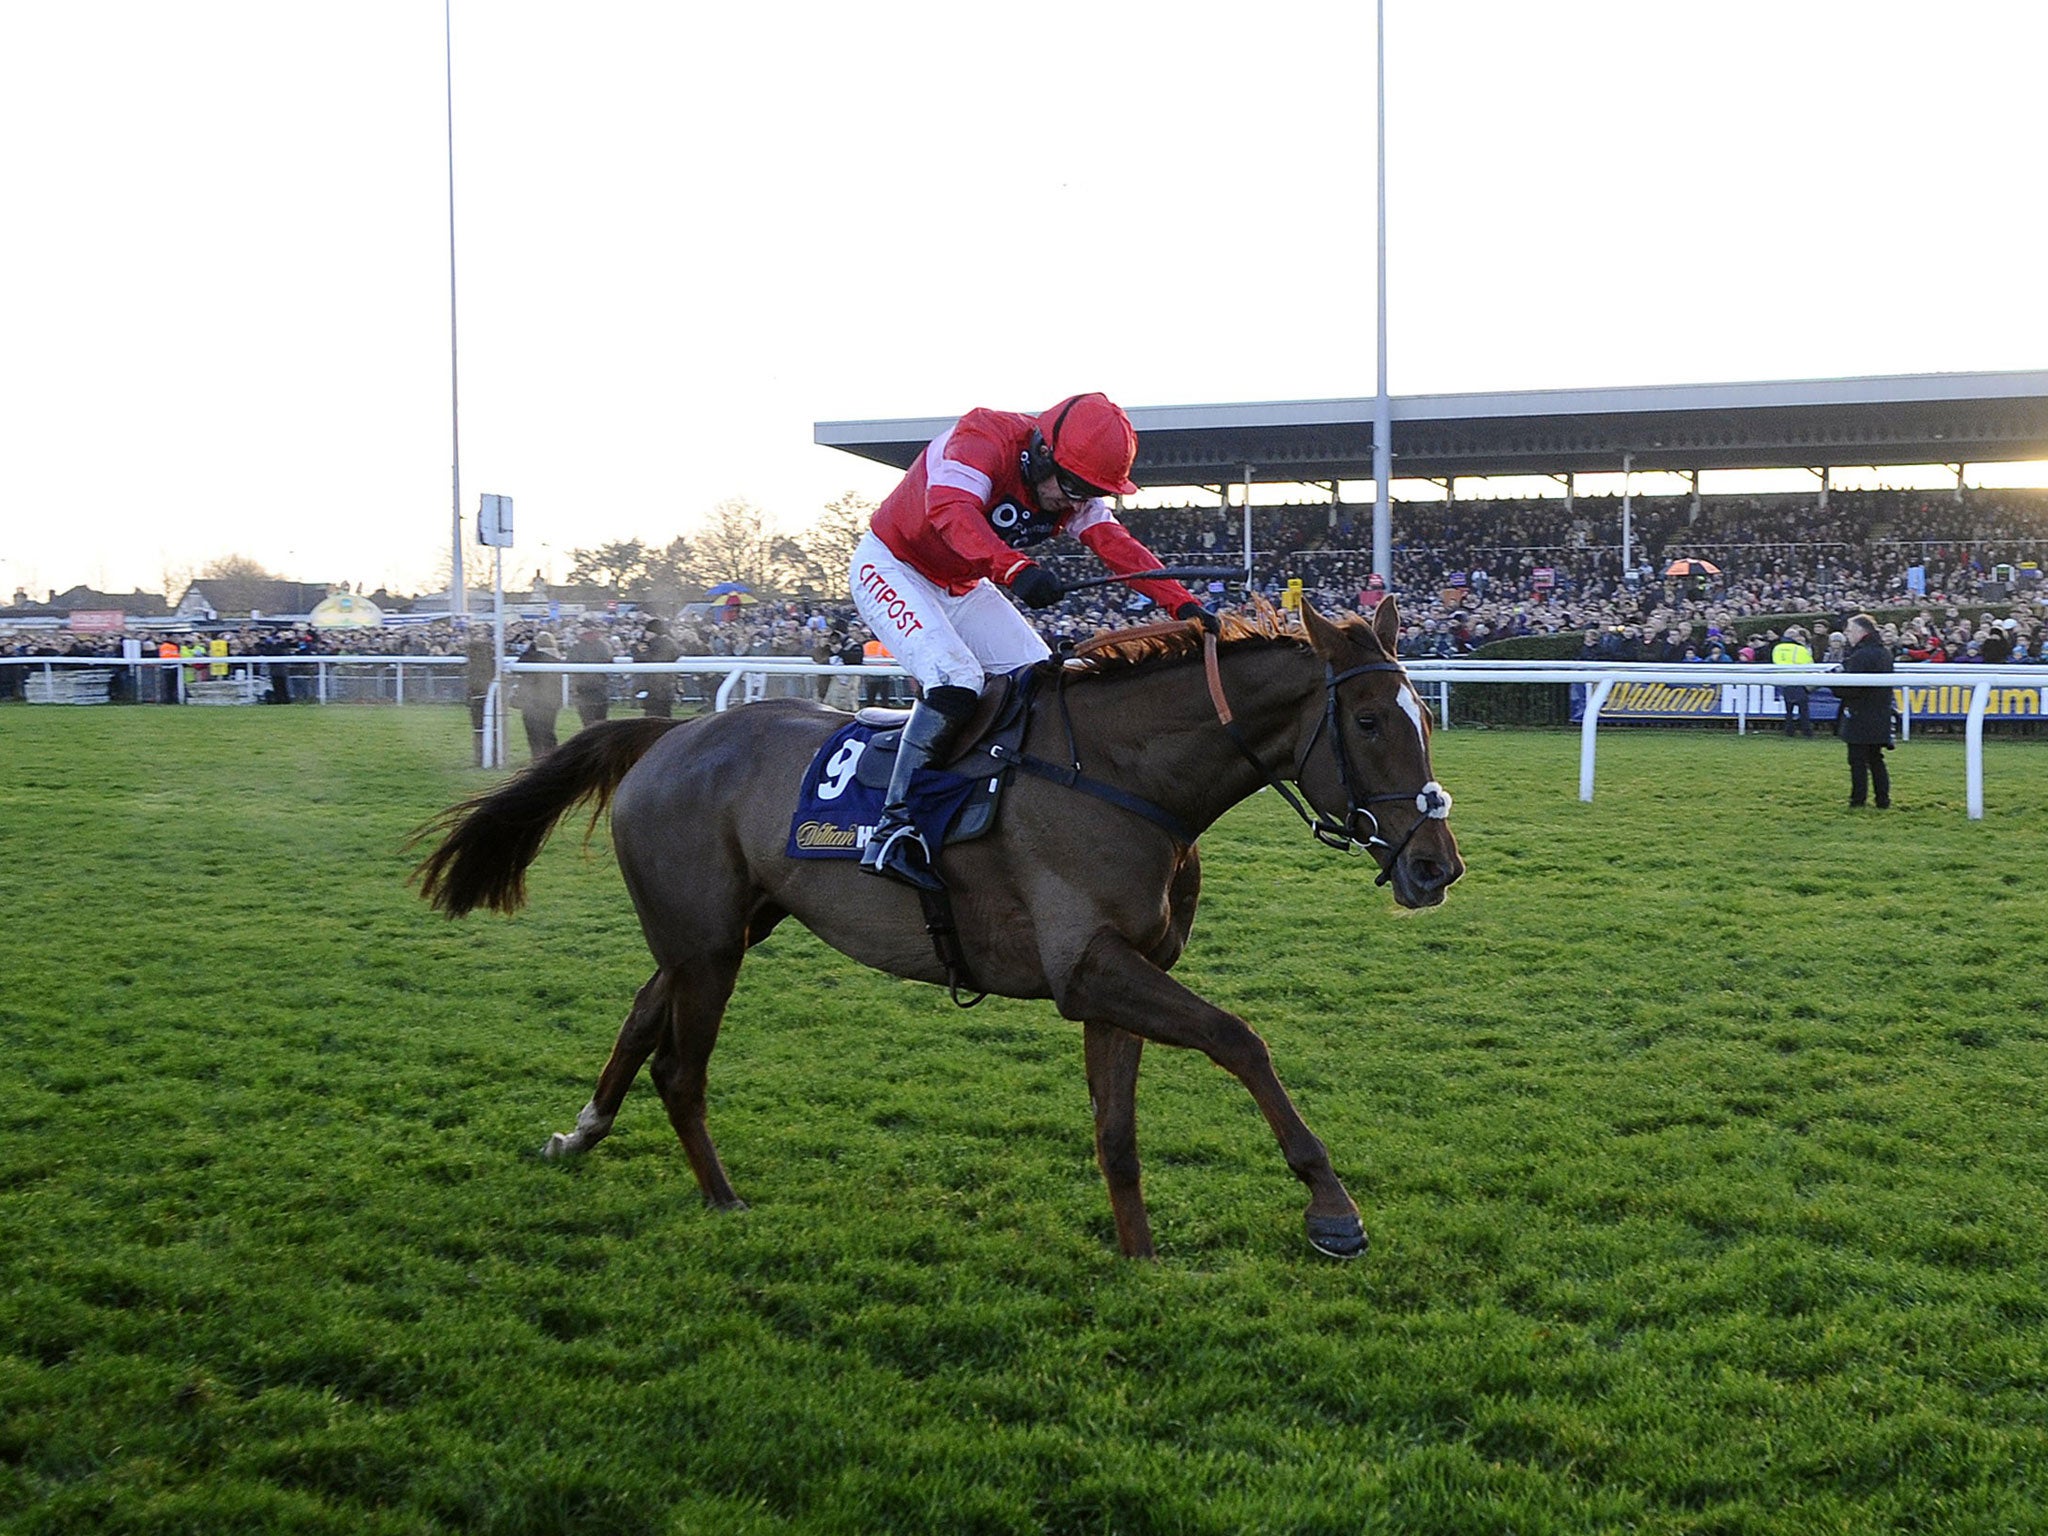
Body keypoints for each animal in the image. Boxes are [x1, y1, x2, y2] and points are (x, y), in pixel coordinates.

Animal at [415, 593, 1466, 1253]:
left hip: (724, 925)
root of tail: (670, 732)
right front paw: (1332, 1208)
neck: (1121, 776)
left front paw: (1139, 1260)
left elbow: (1117, 1131)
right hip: (709, 942)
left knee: (642, 1012)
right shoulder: (1090, 967)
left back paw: (580, 1134)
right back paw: (721, 1197)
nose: (1436, 866)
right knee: (680, 1065)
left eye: (1423, 713)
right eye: (1369, 722)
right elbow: (1239, 1038)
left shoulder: (1120, 969)